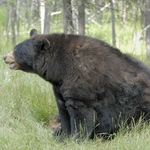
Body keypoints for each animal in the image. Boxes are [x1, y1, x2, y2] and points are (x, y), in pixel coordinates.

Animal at [3, 29, 150, 141]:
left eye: (16, 49)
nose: (4, 56)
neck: (61, 68)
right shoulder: (60, 87)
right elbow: (63, 111)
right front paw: (63, 136)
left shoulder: (82, 85)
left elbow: (81, 113)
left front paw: (77, 138)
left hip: (138, 109)